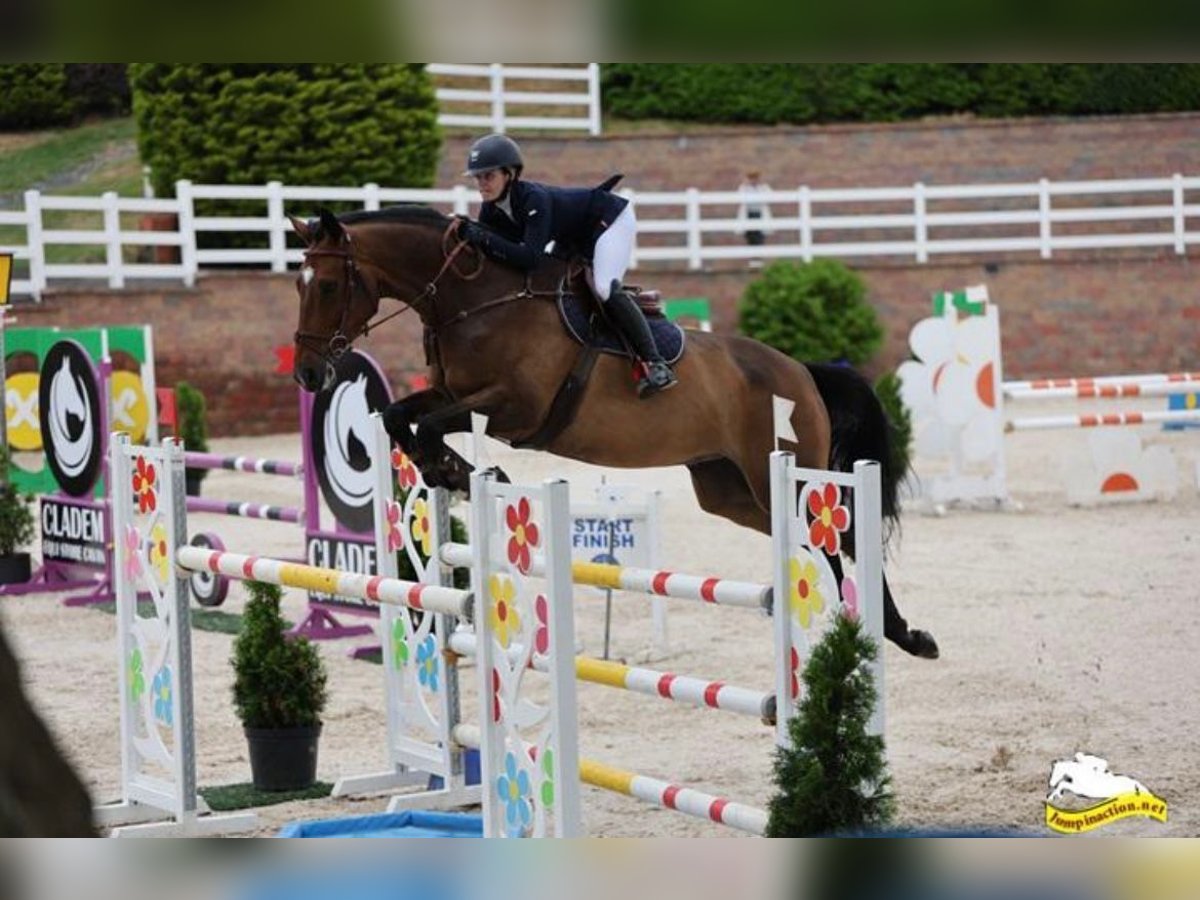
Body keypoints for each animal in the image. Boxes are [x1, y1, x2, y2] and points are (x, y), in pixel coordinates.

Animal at [289, 206, 938, 659]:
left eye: (327, 286)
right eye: (299, 285)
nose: (309, 374)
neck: (473, 299)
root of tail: (801, 369)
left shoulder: (514, 406)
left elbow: (424, 422)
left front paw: (462, 469)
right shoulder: (453, 396)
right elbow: (402, 417)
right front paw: (450, 471)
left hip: (783, 471)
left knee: (838, 539)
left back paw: (903, 634)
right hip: (727, 489)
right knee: (809, 542)